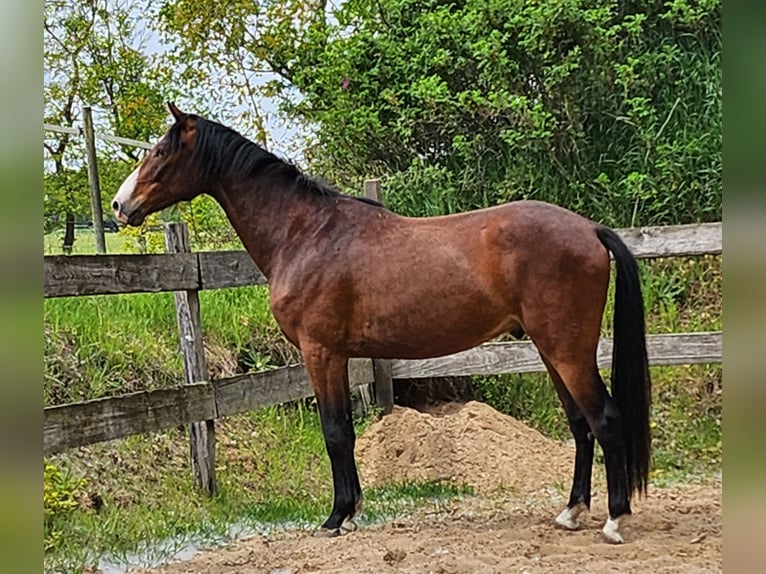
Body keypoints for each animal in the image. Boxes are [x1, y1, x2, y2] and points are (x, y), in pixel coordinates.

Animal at [115, 102, 656, 544]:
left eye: (160, 152)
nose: (121, 205)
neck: (305, 232)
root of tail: (590, 229)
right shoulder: (338, 355)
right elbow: (346, 432)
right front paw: (351, 511)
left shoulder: (320, 352)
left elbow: (335, 431)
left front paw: (336, 517)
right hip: (550, 350)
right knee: (580, 425)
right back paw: (570, 513)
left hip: (567, 350)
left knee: (605, 419)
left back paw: (613, 520)